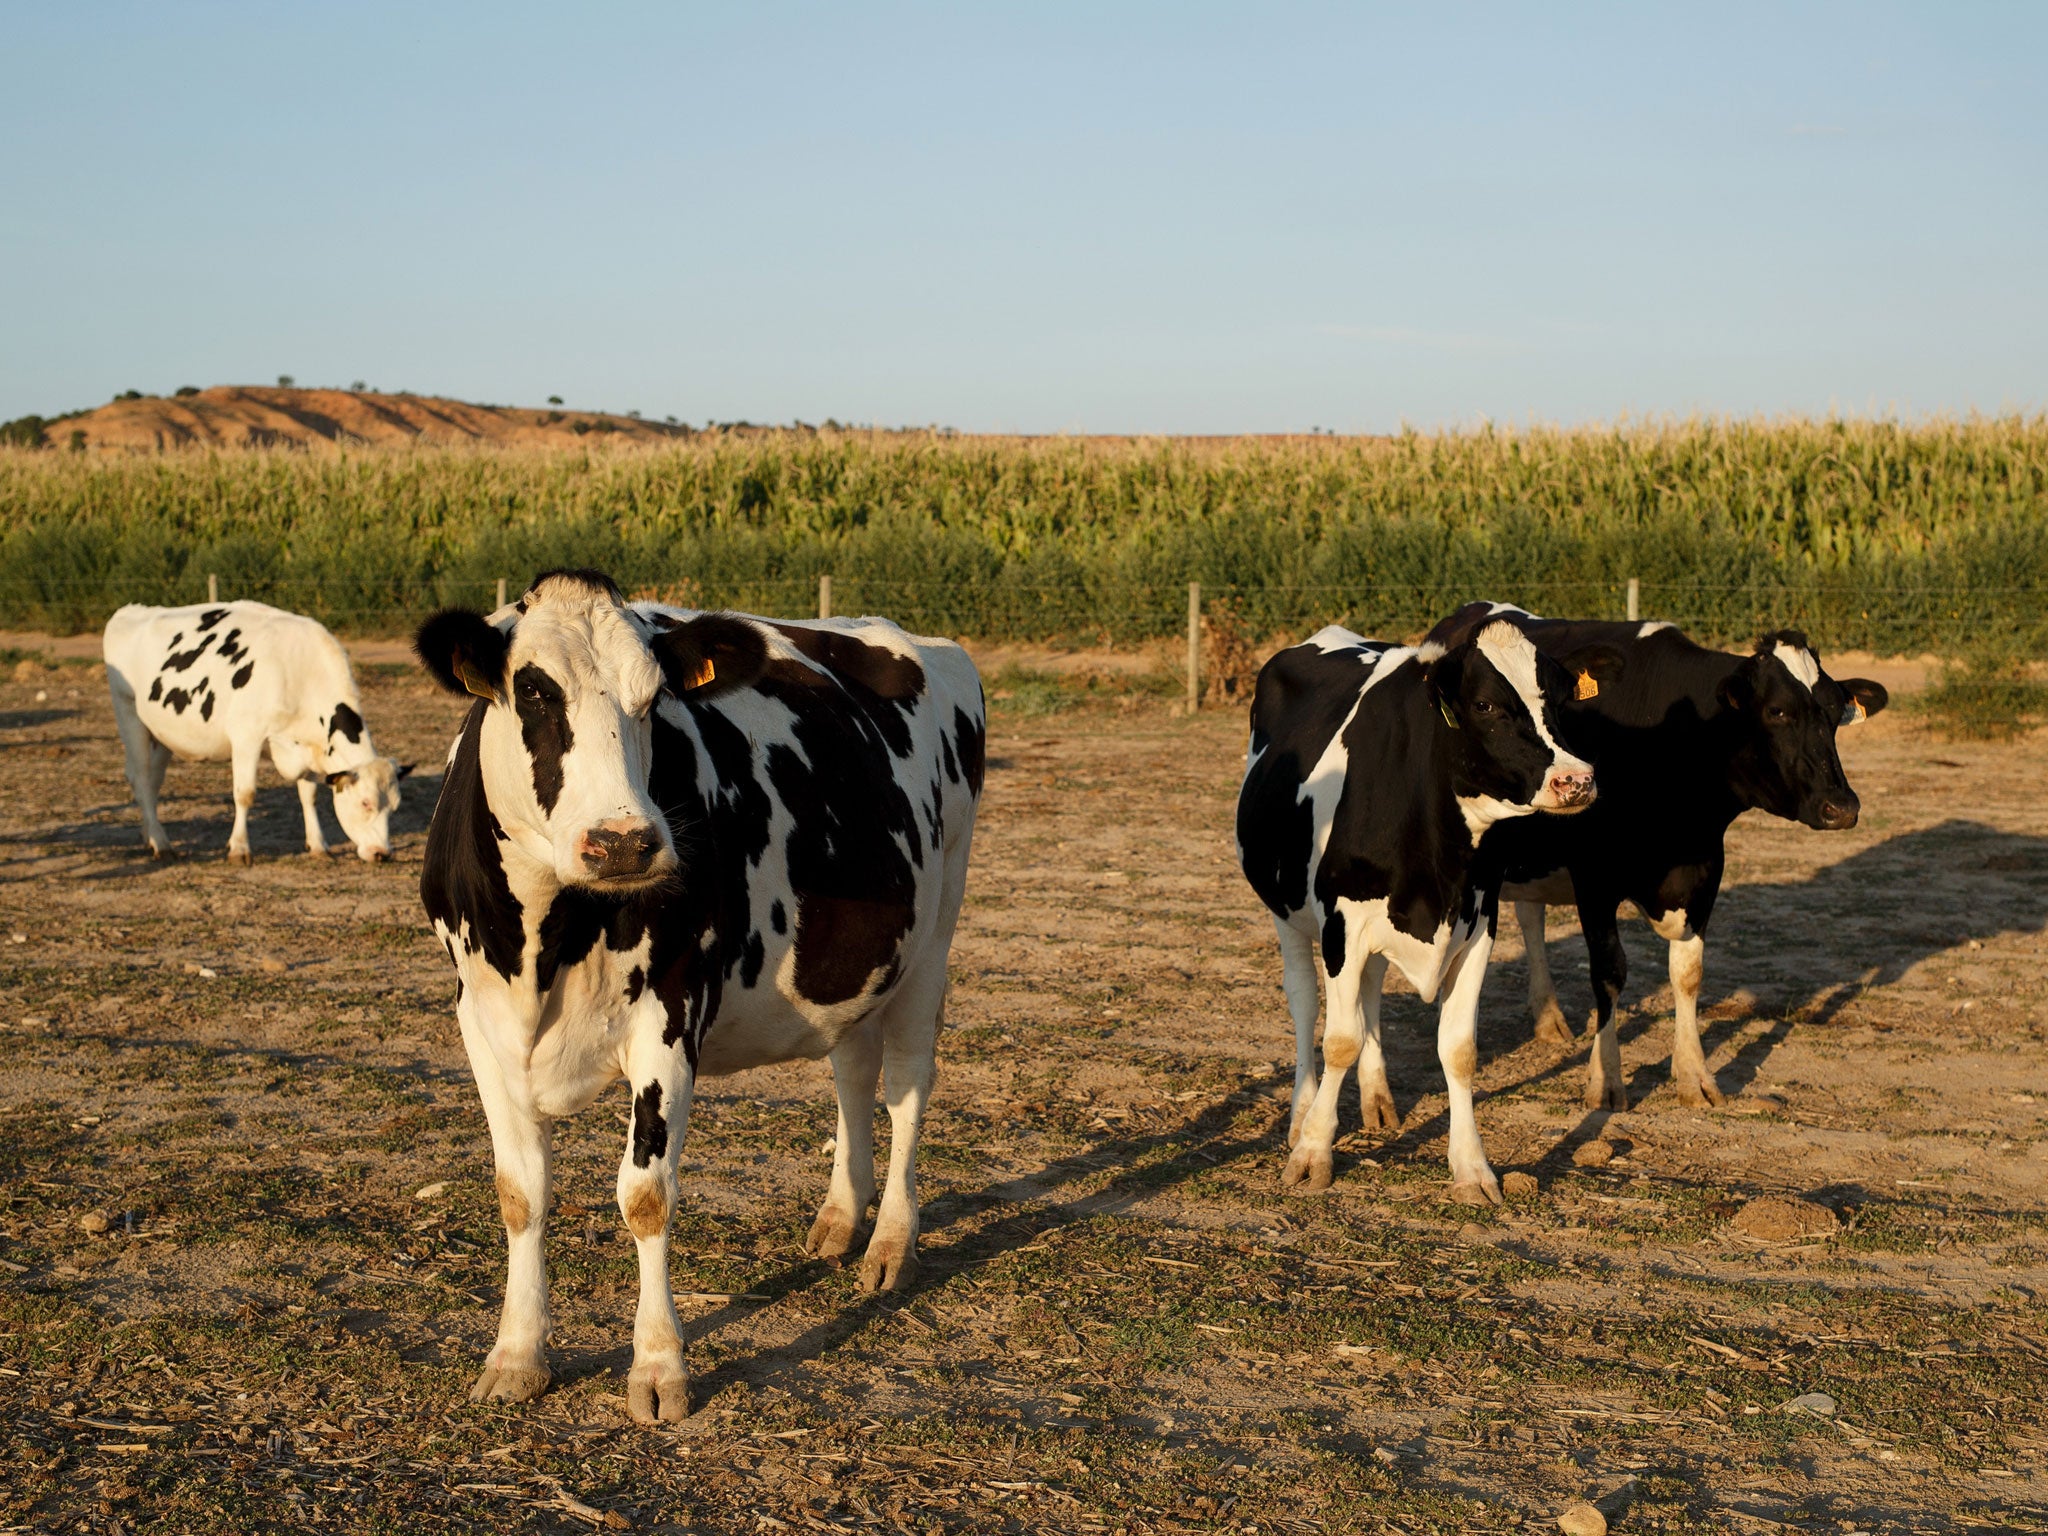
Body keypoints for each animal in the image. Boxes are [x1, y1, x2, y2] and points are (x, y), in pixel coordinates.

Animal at [101, 602, 413, 868]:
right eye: (365, 803)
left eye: (395, 807)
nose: (382, 853)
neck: (298, 671)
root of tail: (130, 611)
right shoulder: (246, 736)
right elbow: (245, 794)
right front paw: (239, 849)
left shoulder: (305, 748)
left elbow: (308, 795)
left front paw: (318, 845)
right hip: (128, 713)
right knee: (141, 777)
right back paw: (161, 843)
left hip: (163, 732)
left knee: (152, 781)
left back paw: (149, 835)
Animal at [413, 573, 983, 1425]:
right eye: (531, 693)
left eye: (653, 700)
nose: (624, 842)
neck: (548, 938)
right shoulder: (479, 1020)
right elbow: (520, 1193)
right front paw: (516, 1355)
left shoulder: (669, 1013)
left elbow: (645, 1196)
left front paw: (658, 1367)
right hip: (851, 965)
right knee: (853, 1073)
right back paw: (839, 1219)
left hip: (933, 940)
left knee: (907, 1089)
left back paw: (889, 1245)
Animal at [1228, 618, 1597, 1212]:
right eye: (1484, 704)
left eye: (1560, 701)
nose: (1577, 779)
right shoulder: (1343, 928)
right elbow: (1339, 1040)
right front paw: (1312, 1153)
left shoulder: (1479, 926)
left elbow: (1459, 1050)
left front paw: (1472, 1168)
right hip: (1288, 913)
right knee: (1306, 1004)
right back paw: (1301, 1114)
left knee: (1371, 994)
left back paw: (1378, 1100)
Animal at [1425, 606, 1884, 1122]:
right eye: (1778, 712)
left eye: (1835, 714)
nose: (1841, 807)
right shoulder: (1595, 878)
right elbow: (1609, 974)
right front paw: (1606, 1080)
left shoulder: (1705, 870)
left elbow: (1687, 974)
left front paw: (1694, 1075)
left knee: (1530, 915)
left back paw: (1547, 1016)